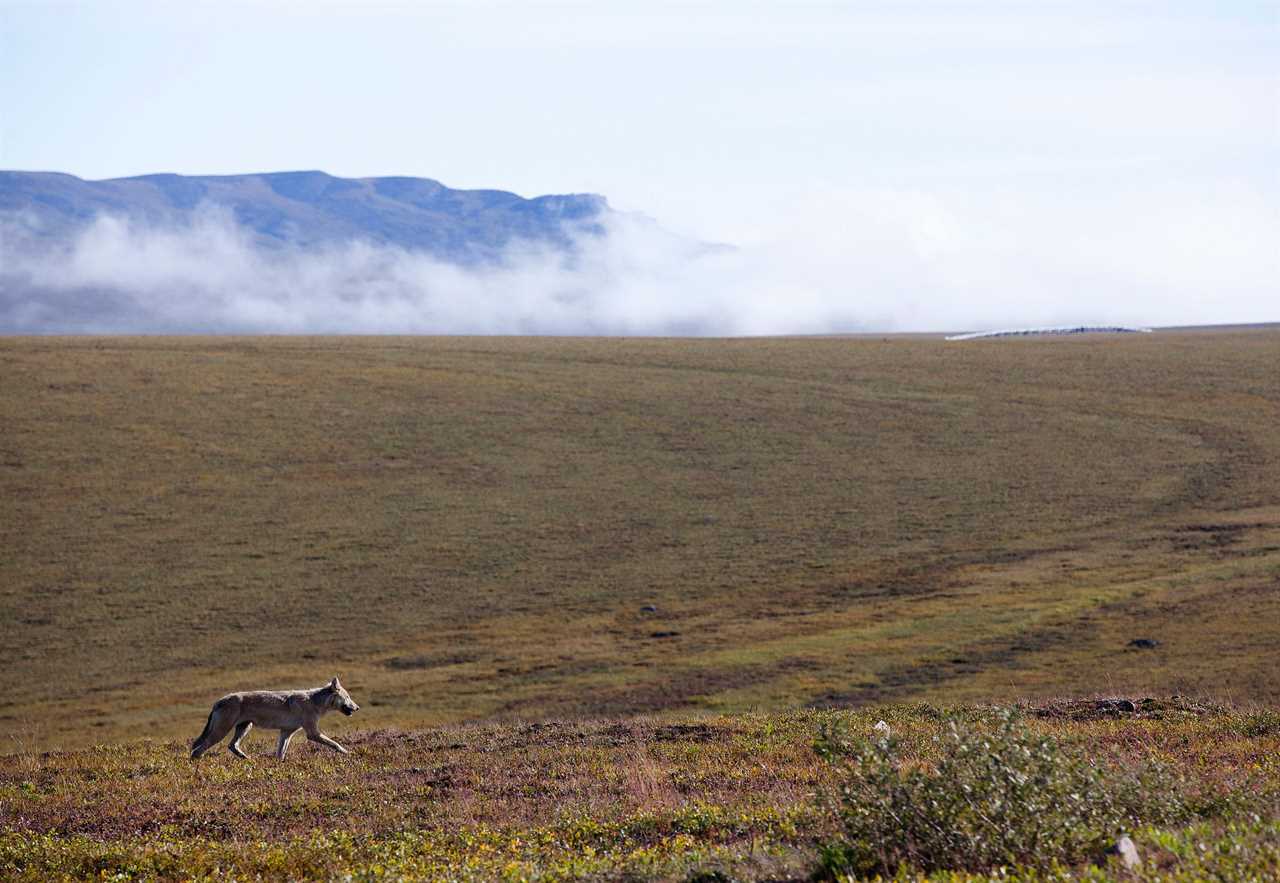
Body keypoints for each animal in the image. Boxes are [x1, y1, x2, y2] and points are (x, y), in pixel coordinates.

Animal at [186, 675, 355, 757]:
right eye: (348, 697)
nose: (357, 707)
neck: (315, 702)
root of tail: (218, 701)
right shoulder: (312, 733)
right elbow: (335, 743)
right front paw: (347, 753)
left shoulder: (286, 733)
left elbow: (280, 754)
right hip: (222, 732)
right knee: (196, 751)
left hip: (245, 727)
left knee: (232, 745)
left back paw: (246, 759)